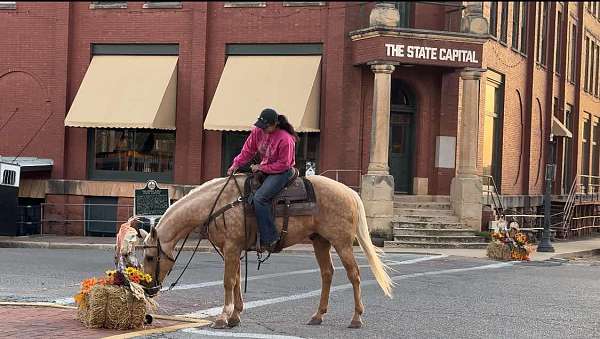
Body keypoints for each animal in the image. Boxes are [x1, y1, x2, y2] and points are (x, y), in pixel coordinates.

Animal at [140, 175, 394, 330]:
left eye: (150, 257)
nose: (148, 289)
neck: (219, 204)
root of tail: (350, 192)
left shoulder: (231, 248)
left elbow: (228, 282)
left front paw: (222, 318)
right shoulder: (232, 249)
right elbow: (235, 281)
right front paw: (235, 316)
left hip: (341, 243)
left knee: (354, 275)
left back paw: (356, 318)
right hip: (320, 241)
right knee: (327, 274)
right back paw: (317, 315)